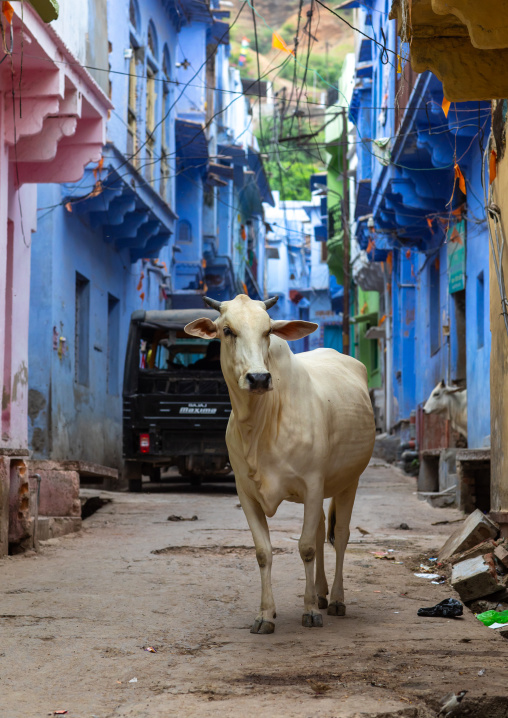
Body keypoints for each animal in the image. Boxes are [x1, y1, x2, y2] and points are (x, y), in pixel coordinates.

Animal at [185, 294, 376, 634]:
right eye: (227, 330)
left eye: (267, 331)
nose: (259, 378)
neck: (260, 426)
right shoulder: (246, 493)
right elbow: (264, 552)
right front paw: (265, 614)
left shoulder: (312, 484)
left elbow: (306, 547)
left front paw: (309, 611)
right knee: (321, 530)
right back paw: (322, 593)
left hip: (348, 481)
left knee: (339, 536)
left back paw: (336, 599)